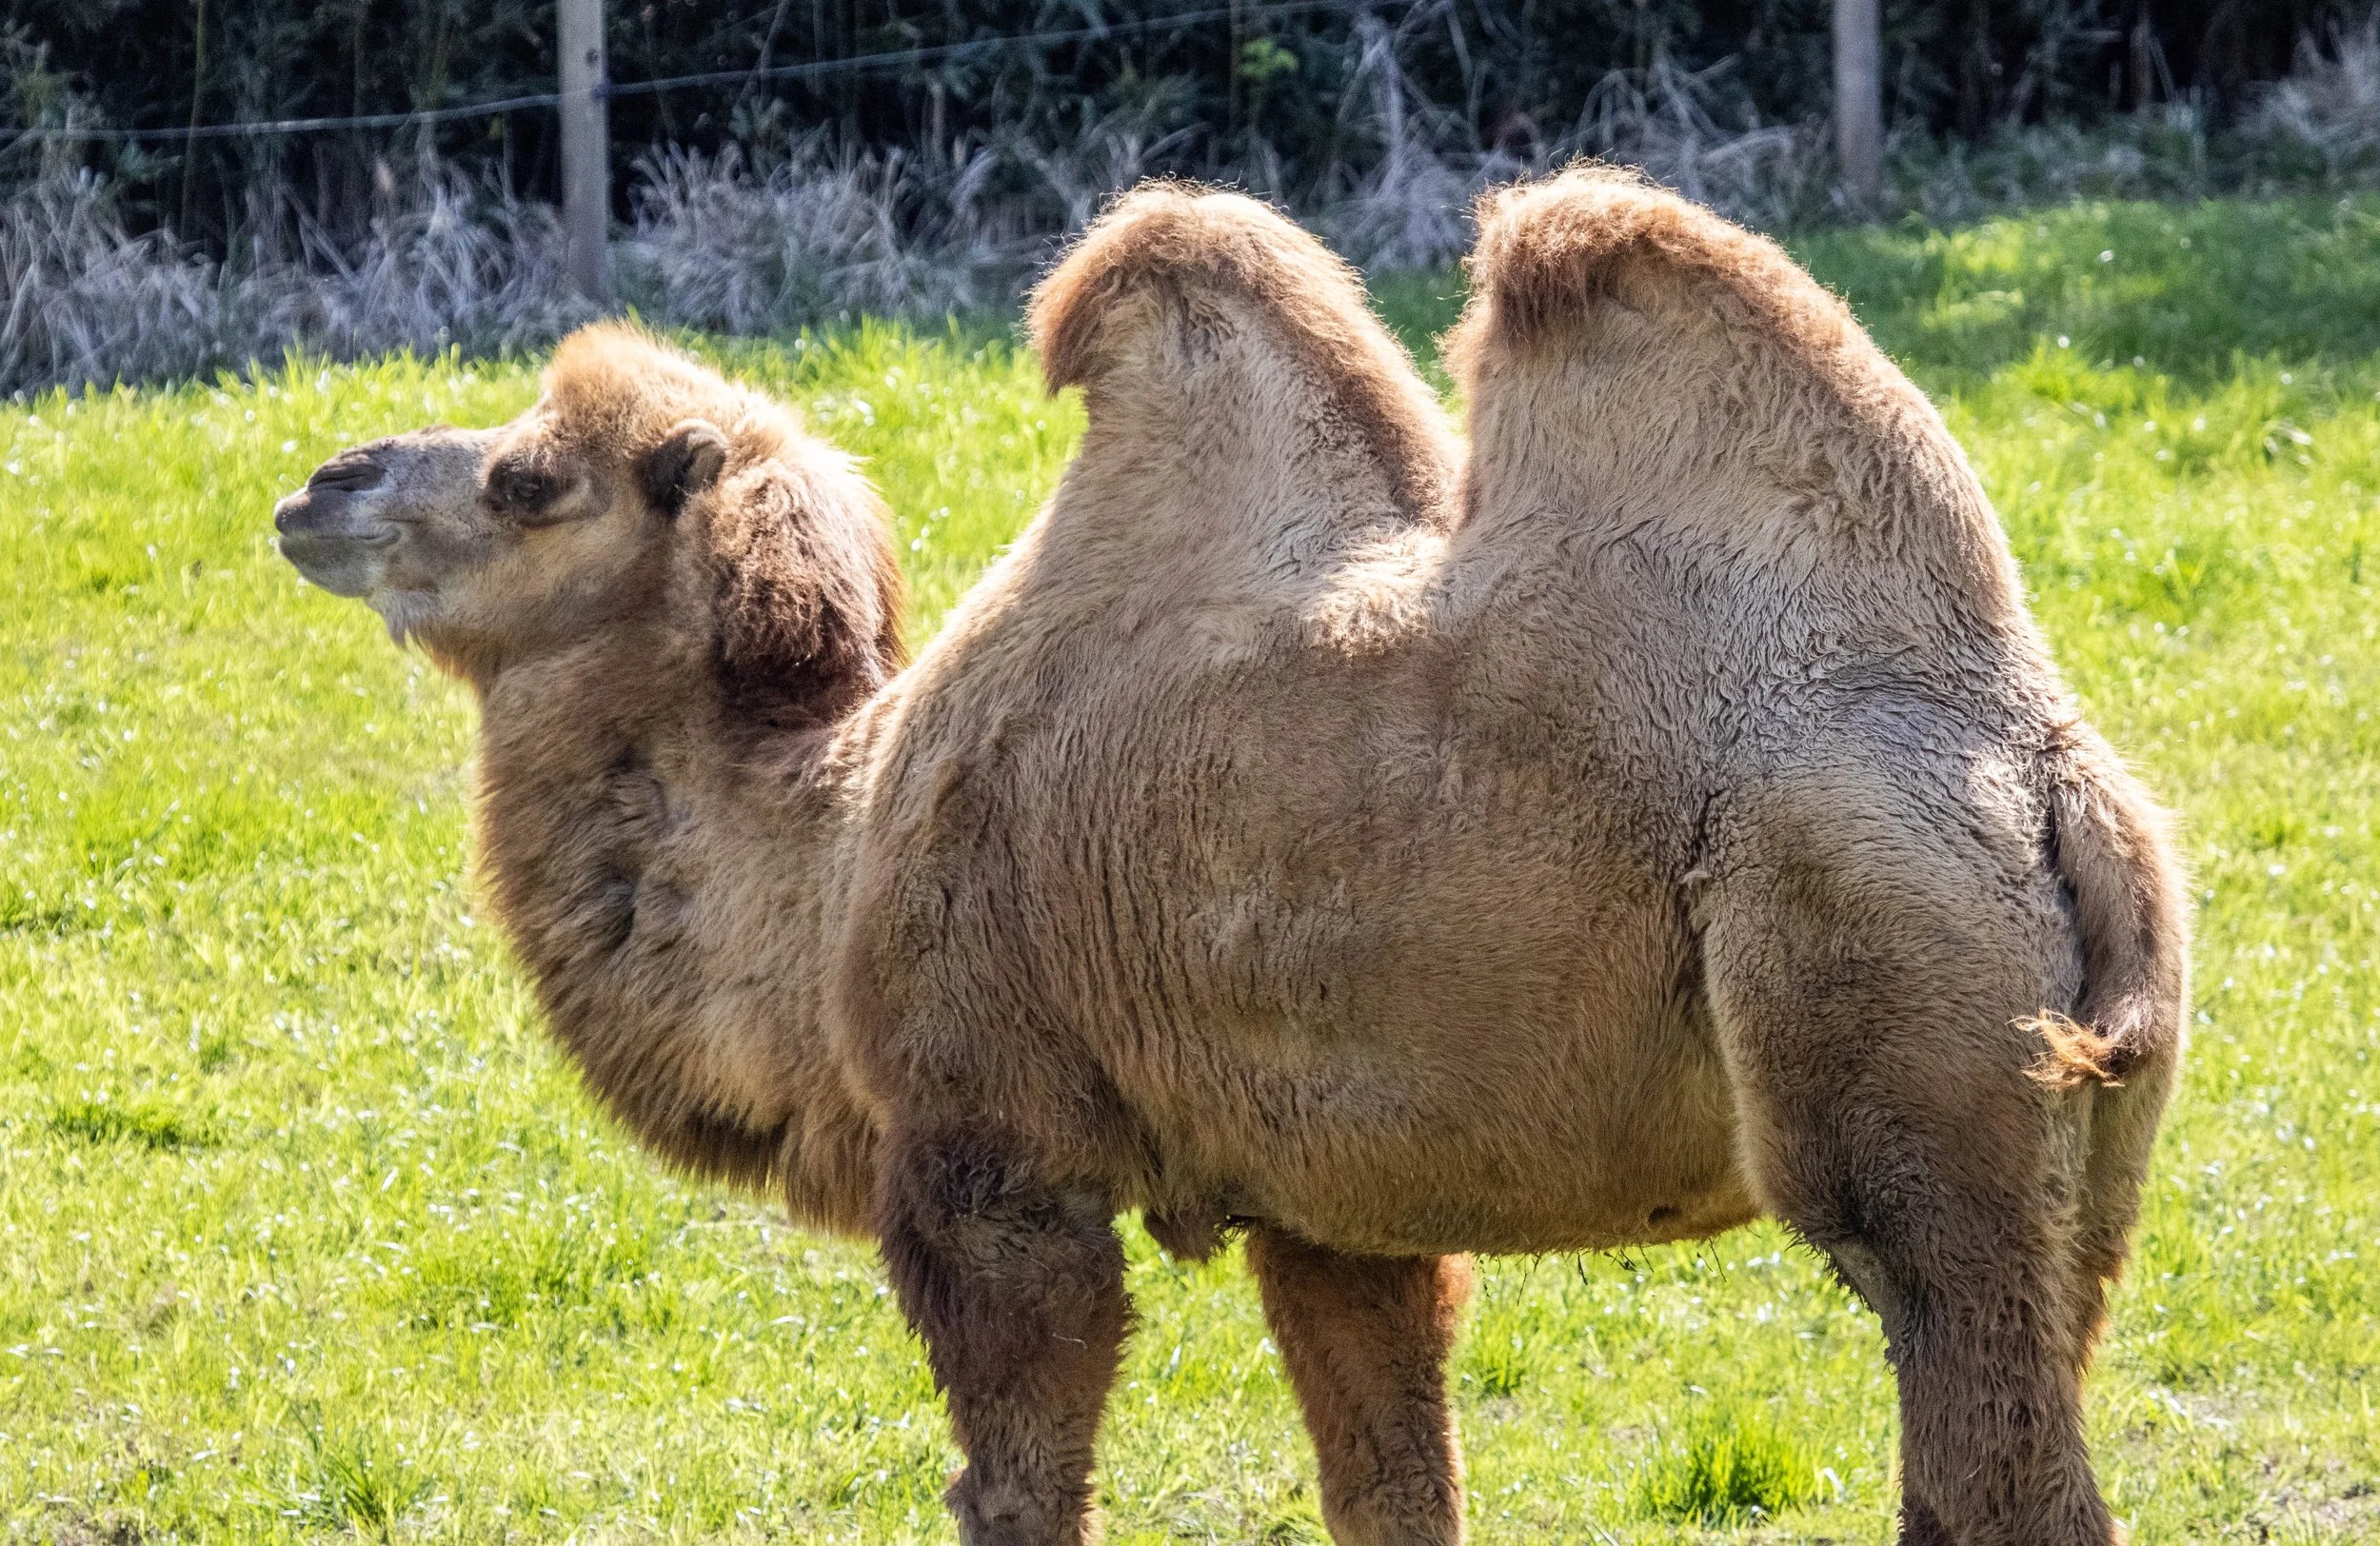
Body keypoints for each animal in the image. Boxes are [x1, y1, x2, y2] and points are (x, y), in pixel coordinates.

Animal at [272, 170, 2187, 1546]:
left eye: (531, 480)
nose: (318, 478)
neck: (825, 851)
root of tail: (2047, 775)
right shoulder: (1333, 1196)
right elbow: (1391, 1487)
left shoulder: (989, 1158)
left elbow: (1019, 1483)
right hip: (2076, 1165)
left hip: (1882, 1006)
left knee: (1990, 1435)